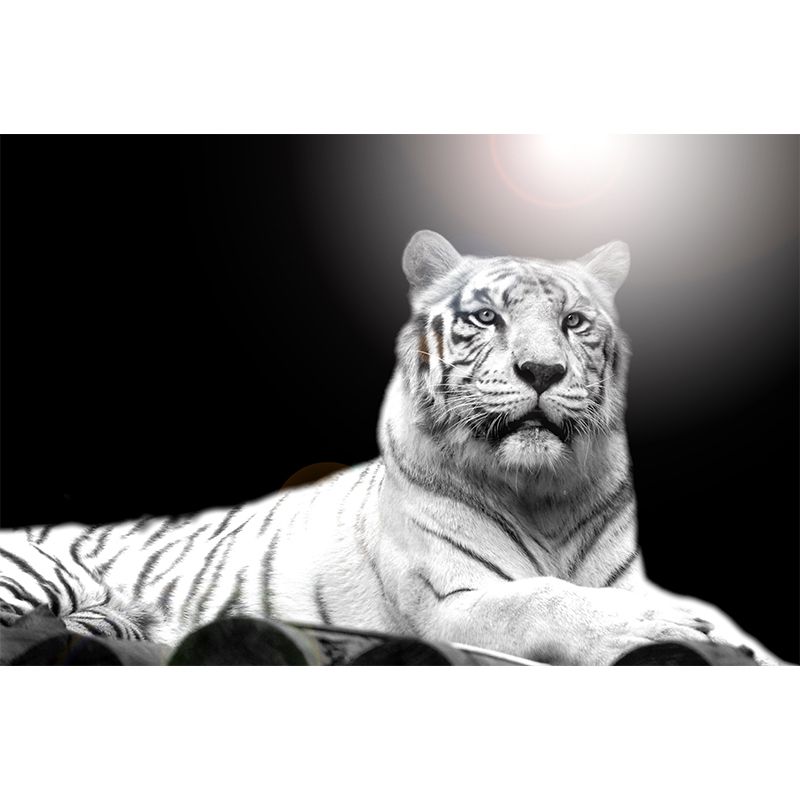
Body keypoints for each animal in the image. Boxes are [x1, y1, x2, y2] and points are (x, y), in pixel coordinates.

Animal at [0, 230, 783, 665]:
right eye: (486, 317)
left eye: (575, 322)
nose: (542, 371)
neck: (547, 495)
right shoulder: (454, 601)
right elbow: (546, 599)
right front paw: (661, 625)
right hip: (36, 573)